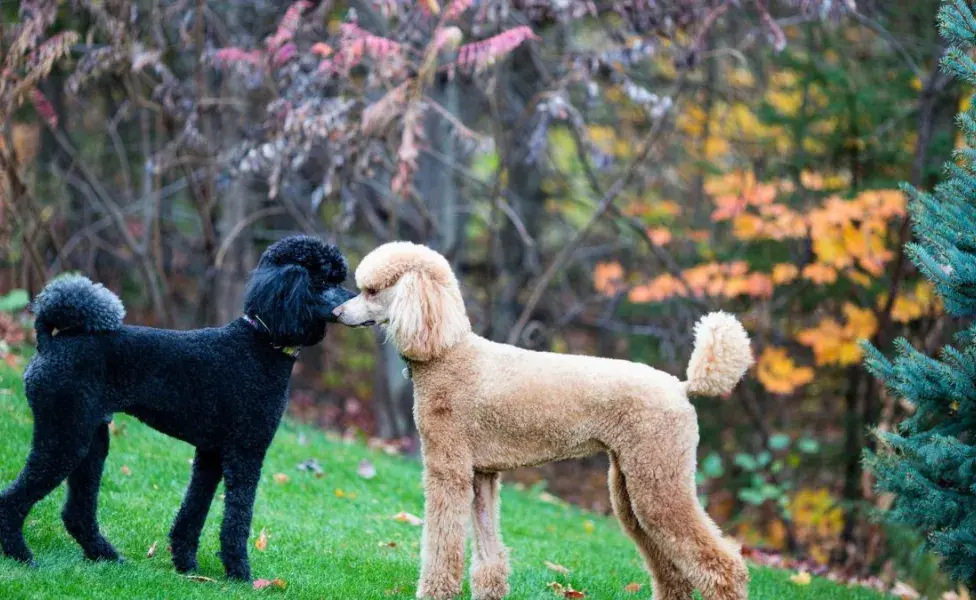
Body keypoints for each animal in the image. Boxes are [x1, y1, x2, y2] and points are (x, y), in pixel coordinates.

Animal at [0, 236, 356, 580]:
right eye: (324, 279)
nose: (352, 300)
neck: (262, 340)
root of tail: (47, 341)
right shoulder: (246, 452)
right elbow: (237, 518)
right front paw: (240, 573)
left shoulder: (211, 453)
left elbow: (194, 509)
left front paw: (186, 564)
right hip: (65, 433)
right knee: (13, 501)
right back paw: (20, 555)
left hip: (90, 439)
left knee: (76, 512)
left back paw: (106, 557)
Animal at [336, 241, 756, 596]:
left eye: (371, 291)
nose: (336, 313)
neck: (447, 353)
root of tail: (682, 387)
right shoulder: (482, 475)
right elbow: (488, 553)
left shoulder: (448, 467)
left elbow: (443, 547)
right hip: (632, 486)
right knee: (671, 570)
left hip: (659, 478)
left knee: (723, 566)